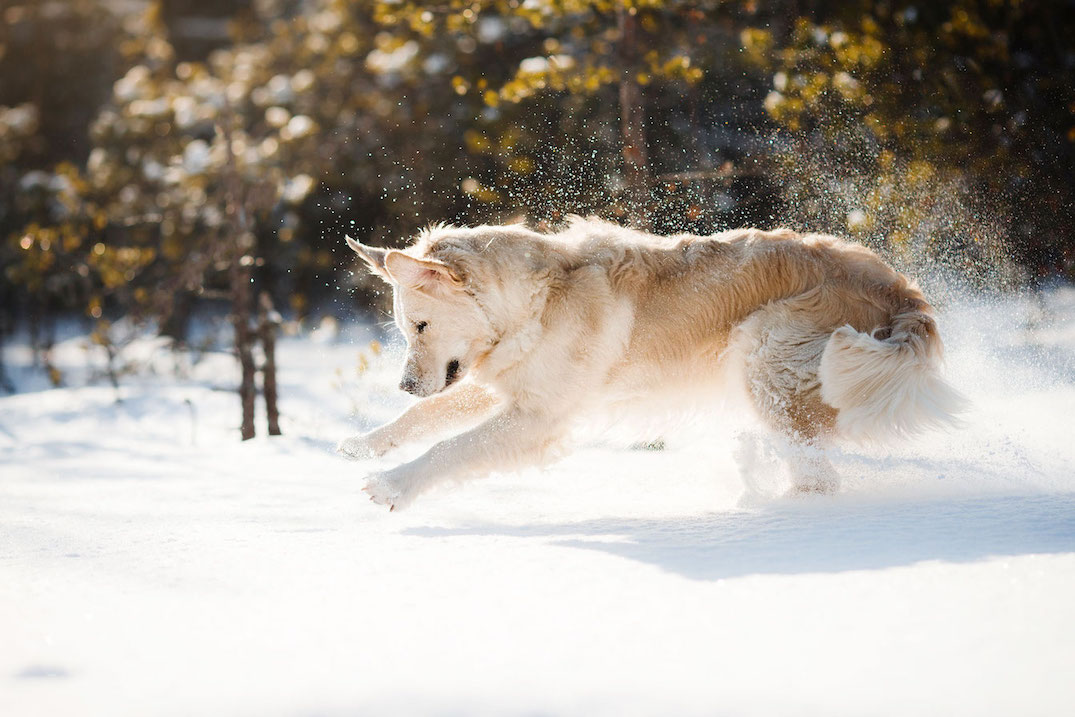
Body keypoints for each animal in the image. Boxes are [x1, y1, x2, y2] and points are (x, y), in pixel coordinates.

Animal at [337, 219, 967, 509]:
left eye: (420, 326)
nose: (404, 384)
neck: (535, 301)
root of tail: (900, 289)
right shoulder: (509, 385)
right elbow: (427, 419)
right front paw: (364, 444)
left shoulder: (539, 418)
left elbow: (450, 448)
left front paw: (392, 485)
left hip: (763, 355)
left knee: (817, 476)